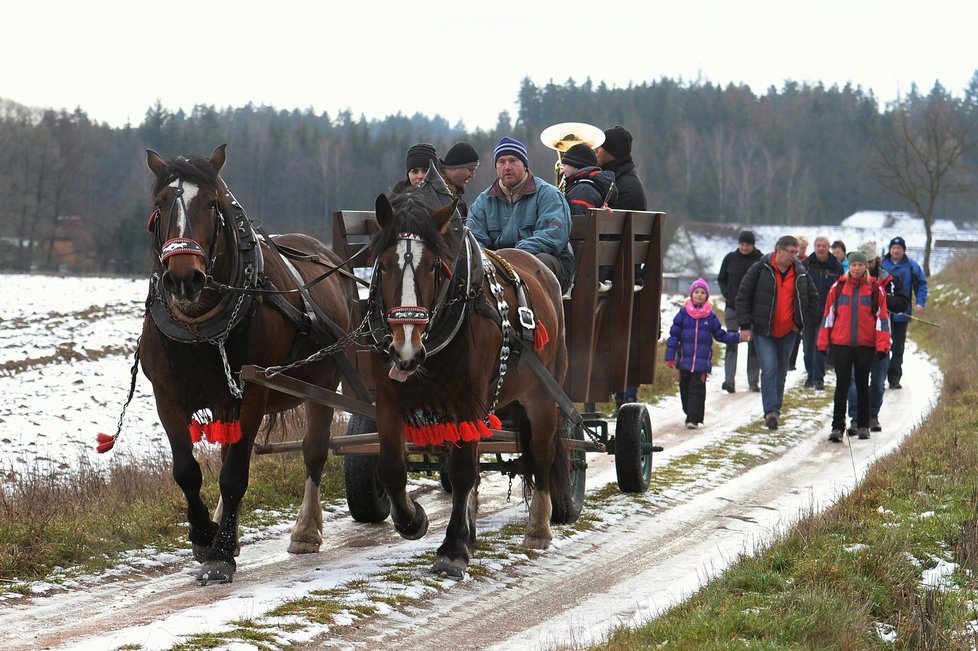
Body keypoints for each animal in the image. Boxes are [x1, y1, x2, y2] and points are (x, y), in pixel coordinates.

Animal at [132, 146, 354, 584]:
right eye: (159, 205)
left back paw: (306, 530)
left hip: (326, 382)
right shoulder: (166, 395)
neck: (199, 324)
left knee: (315, 451)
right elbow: (187, 470)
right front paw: (206, 537)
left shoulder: (253, 391)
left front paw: (219, 556)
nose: (184, 278)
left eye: (211, 204)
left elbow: (235, 474)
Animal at [370, 176, 576, 580]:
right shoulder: (388, 398)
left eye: (434, 266)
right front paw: (413, 520)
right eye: (383, 265)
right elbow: (390, 467)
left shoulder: (468, 400)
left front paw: (452, 550)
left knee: (542, 453)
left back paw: (539, 529)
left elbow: (463, 472)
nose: (405, 351)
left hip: (543, 394)